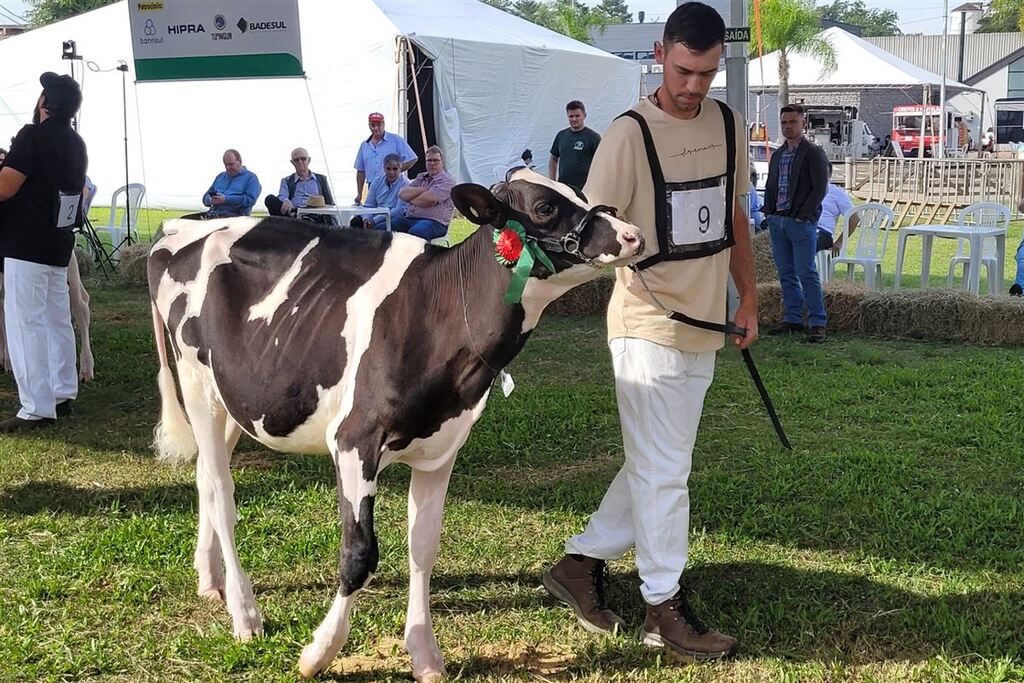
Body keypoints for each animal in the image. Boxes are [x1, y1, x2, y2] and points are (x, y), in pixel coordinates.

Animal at [147, 168, 645, 681]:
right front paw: (319, 652)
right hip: (197, 384)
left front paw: (424, 653)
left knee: (205, 477)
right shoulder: (354, 441)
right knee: (222, 493)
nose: (633, 235)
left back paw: (210, 578)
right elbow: (359, 553)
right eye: (545, 207)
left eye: (581, 193)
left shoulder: (442, 447)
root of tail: (180, 229)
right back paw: (244, 613)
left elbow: (423, 547)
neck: (441, 315)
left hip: (234, 396)